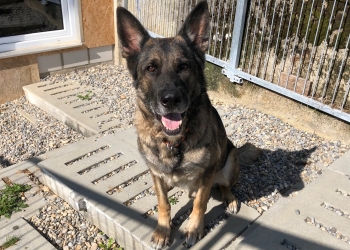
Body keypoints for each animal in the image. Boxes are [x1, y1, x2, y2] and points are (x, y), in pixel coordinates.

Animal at [117, 1, 260, 248]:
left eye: (184, 66)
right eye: (150, 68)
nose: (171, 100)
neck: (173, 142)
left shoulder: (207, 172)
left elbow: (200, 203)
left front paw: (194, 228)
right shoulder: (155, 172)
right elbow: (163, 203)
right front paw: (163, 230)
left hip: (230, 159)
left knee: (224, 185)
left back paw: (230, 199)